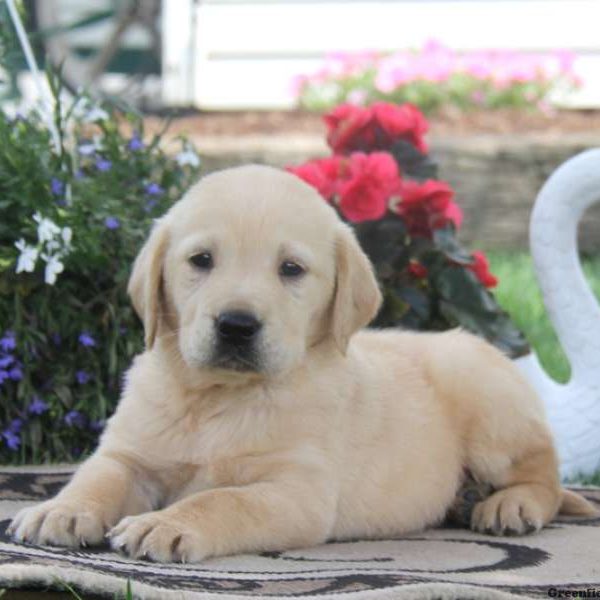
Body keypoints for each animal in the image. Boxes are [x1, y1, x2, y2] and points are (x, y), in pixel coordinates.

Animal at [9, 165, 596, 564]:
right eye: (201, 260)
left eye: (290, 269)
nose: (236, 325)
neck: (220, 397)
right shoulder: (129, 452)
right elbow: (97, 475)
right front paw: (59, 510)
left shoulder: (296, 492)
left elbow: (222, 500)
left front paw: (165, 524)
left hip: (488, 403)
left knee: (545, 469)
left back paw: (509, 505)